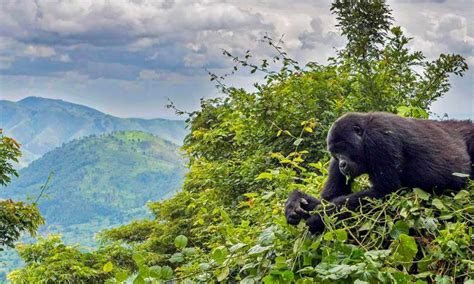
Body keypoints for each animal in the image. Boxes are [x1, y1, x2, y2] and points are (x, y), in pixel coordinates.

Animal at [286, 111, 474, 233]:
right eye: (335, 154)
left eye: (342, 148)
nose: (342, 165)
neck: (364, 131)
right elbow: (329, 197)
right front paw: (296, 201)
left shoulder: (379, 139)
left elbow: (386, 191)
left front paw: (319, 217)